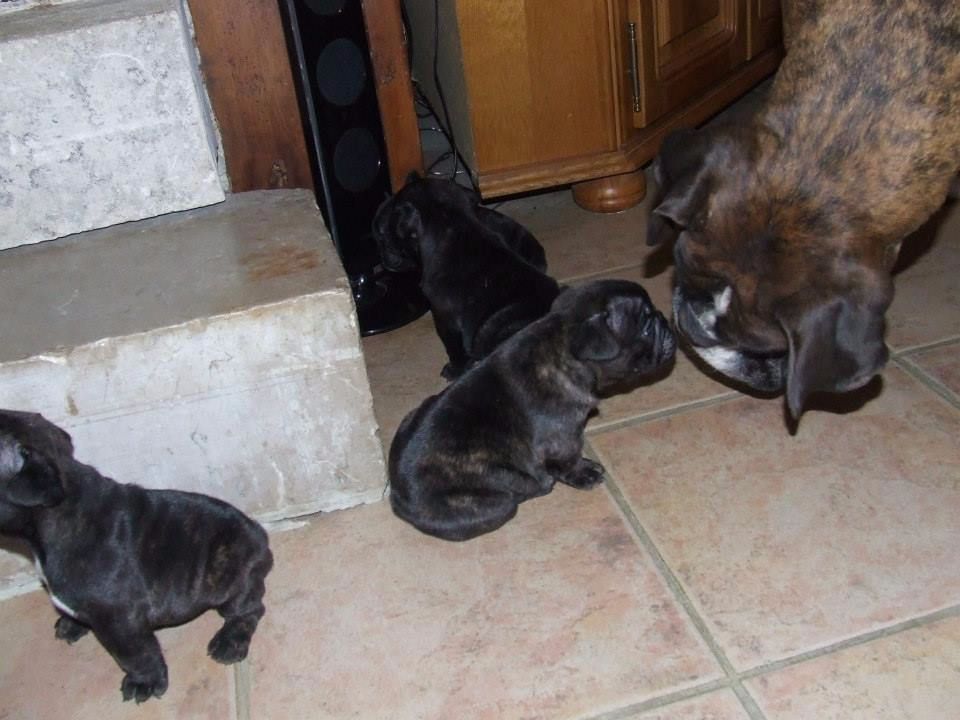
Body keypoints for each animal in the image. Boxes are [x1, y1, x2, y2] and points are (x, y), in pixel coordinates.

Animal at [1, 410, 276, 704]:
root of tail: (260, 536)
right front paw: (72, 624)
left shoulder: (120, 621)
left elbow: (136, 655)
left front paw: (145, 682)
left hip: (231, 577)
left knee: (248, 609)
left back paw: (229, 641)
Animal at [372, 174, 560, 380]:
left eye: (385, 233)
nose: (382, 257)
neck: (455, 226)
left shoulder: (444, 318)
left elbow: (453, 348)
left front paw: (454, 370)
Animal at [388, 280, 676, 540]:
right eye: (646, 328)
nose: (666, 321)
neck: (562, 347)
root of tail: (399, 501)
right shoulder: (563, 438)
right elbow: (570, 460)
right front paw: (584, 472)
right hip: (496, 503)